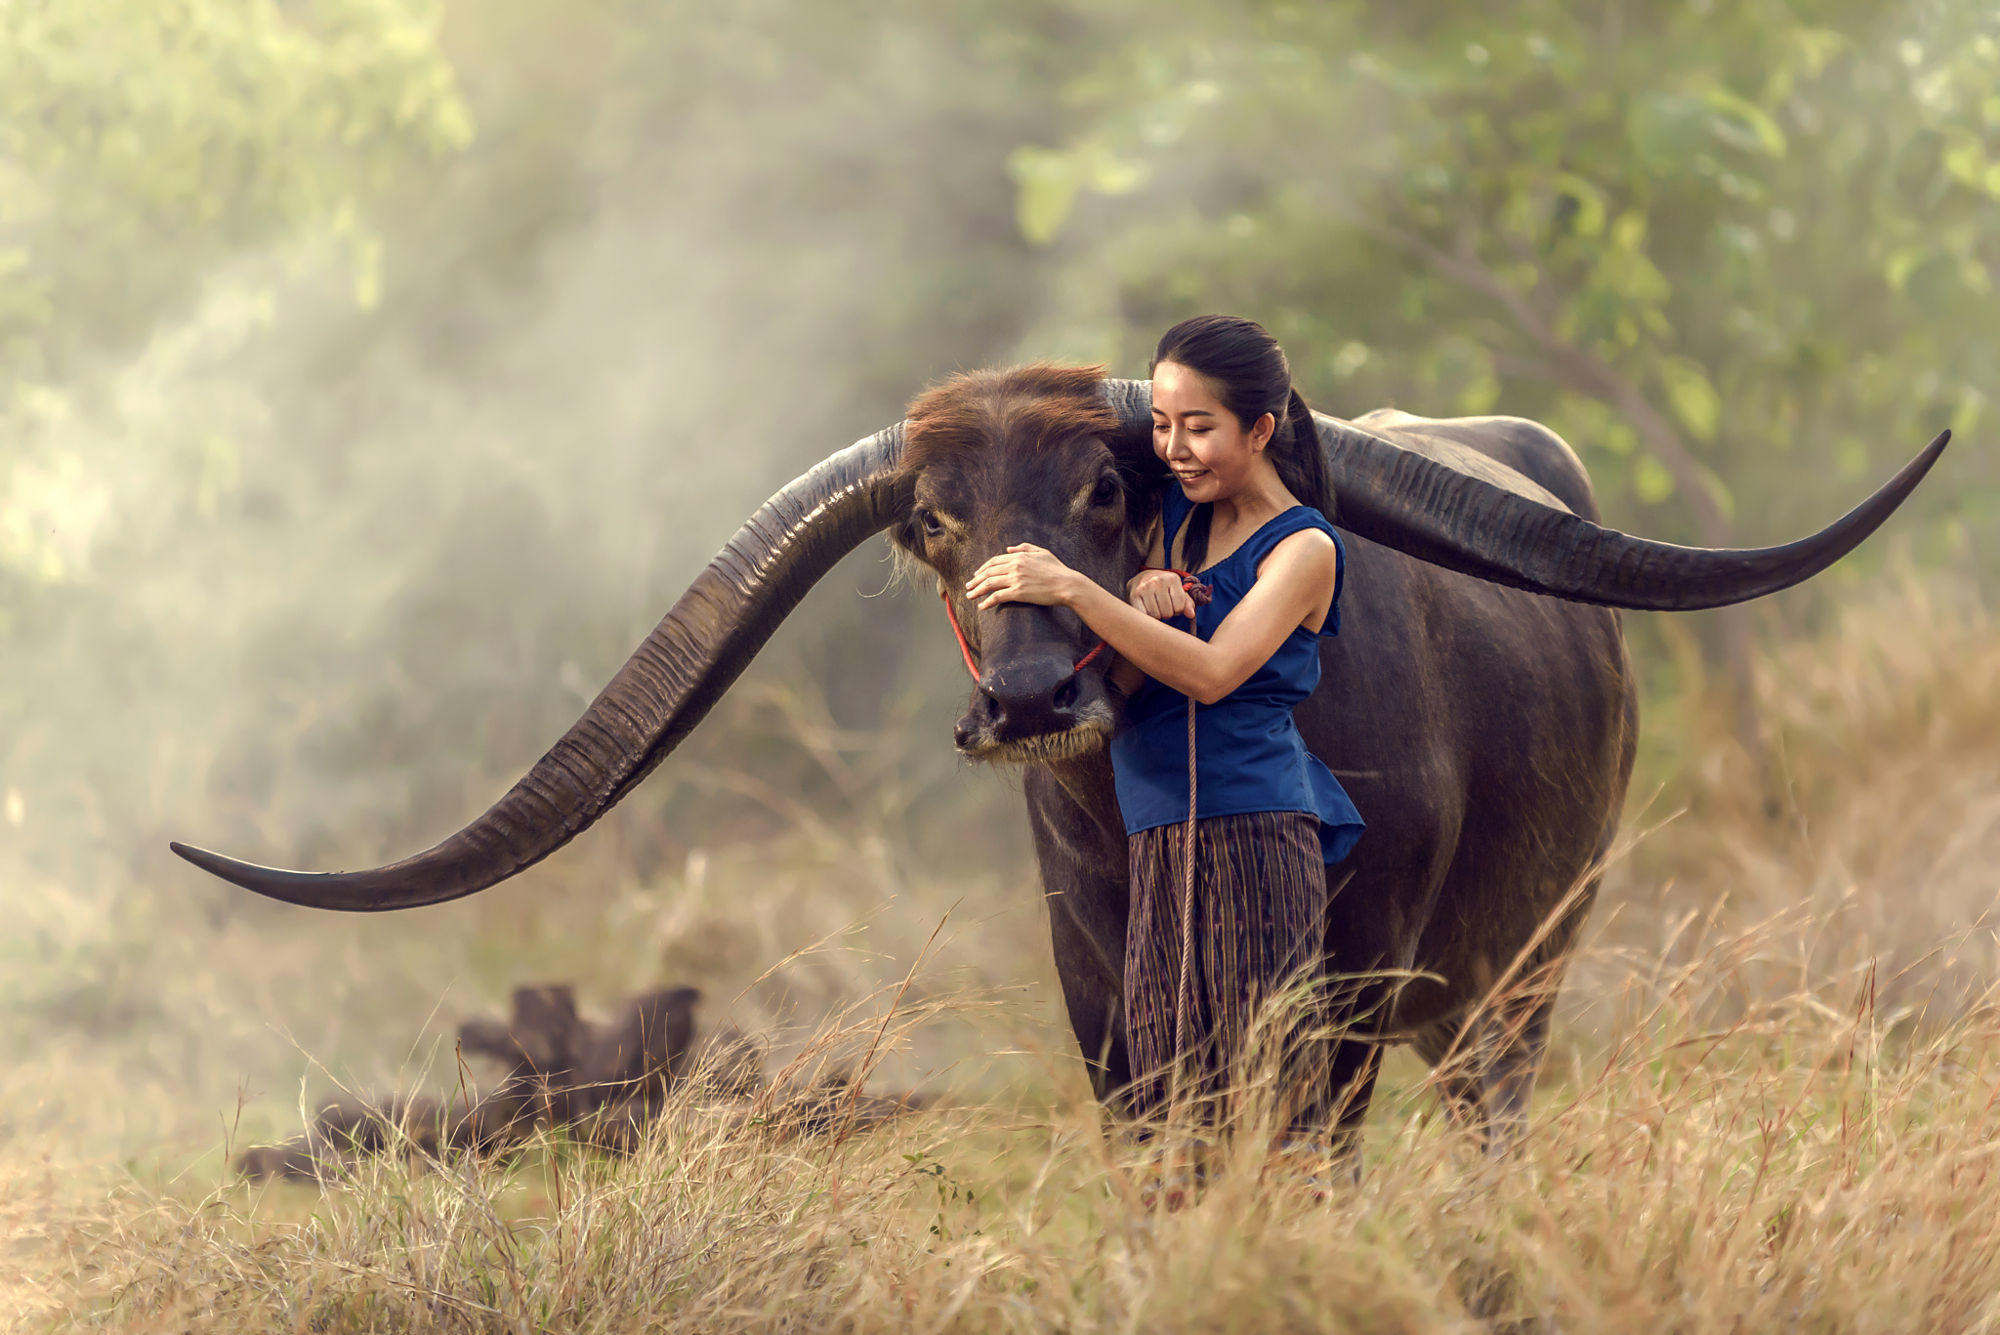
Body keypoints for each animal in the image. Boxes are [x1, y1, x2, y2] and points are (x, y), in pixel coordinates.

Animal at [180, 367, 1944, 1159]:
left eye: (1108, 485)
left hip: (1522, 965)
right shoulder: (1104, 999)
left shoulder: (1348, 987)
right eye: (933, 520)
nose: (1030, 693)